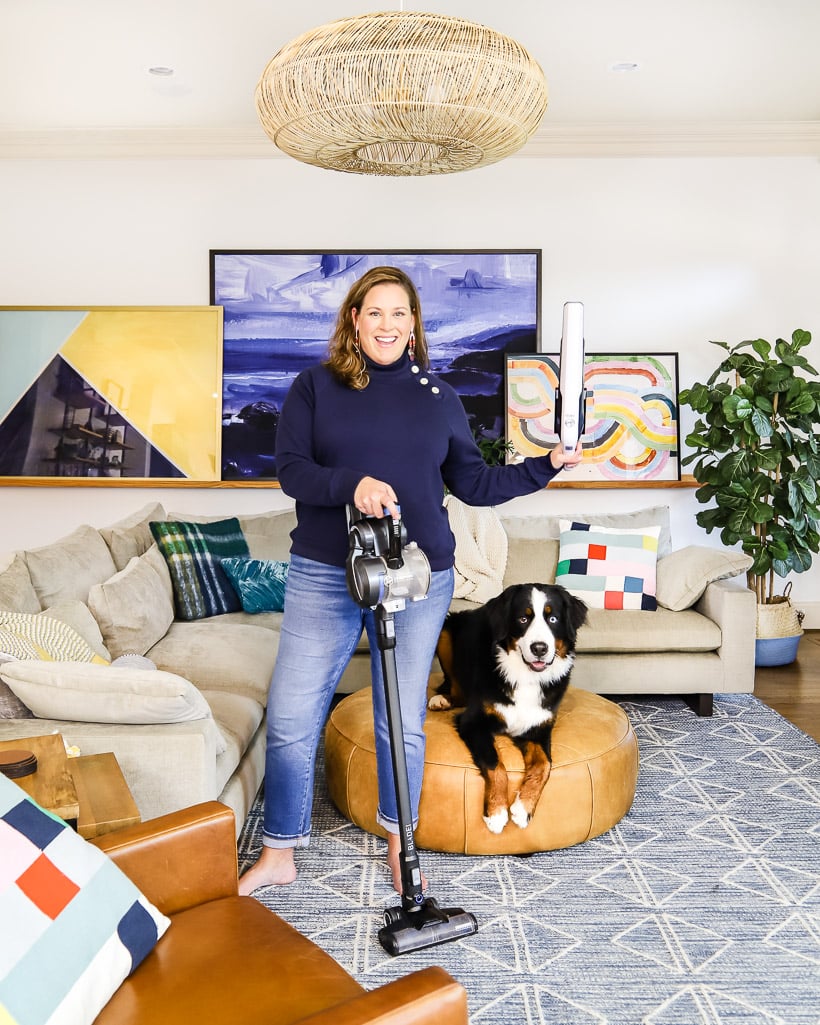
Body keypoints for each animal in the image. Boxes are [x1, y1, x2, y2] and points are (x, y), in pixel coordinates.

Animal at [432, 586, 586, 832]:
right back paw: (441, 700)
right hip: (445, 631)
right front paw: (496, 812)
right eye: (523, 619)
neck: (527, 678)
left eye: (553, 619)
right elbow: (496, 765)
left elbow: (545, 765)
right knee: (455, 688)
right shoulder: (474, 723)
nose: (539, 648)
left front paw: (523, 809)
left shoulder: (538, 728)